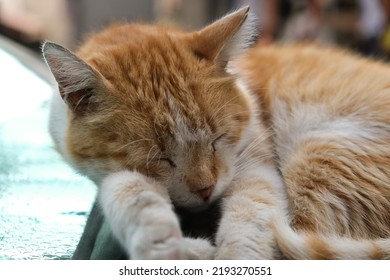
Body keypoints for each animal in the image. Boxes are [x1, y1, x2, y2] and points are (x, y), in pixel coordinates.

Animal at [42, 6, 390, 260]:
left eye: (217, 139)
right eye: (160, 159)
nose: (205, 190)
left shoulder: (256, 166)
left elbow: (251, 216)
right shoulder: (113, 173)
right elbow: (131, 193)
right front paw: (166, 243)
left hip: (320, 156)